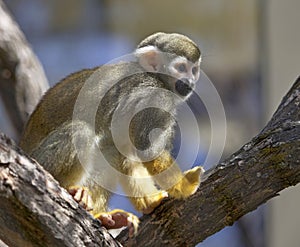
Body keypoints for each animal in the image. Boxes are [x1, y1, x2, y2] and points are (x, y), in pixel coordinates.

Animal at [19, 32, 204, 235]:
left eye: (194, 70)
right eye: (181, 68)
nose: (190, 82)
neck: (153, 76)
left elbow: (127, 153)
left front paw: (150, 201)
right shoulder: (154, 97)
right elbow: (147, 147)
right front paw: (186, 186)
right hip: (40, 160)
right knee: (82, 132)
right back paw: (70, 190)